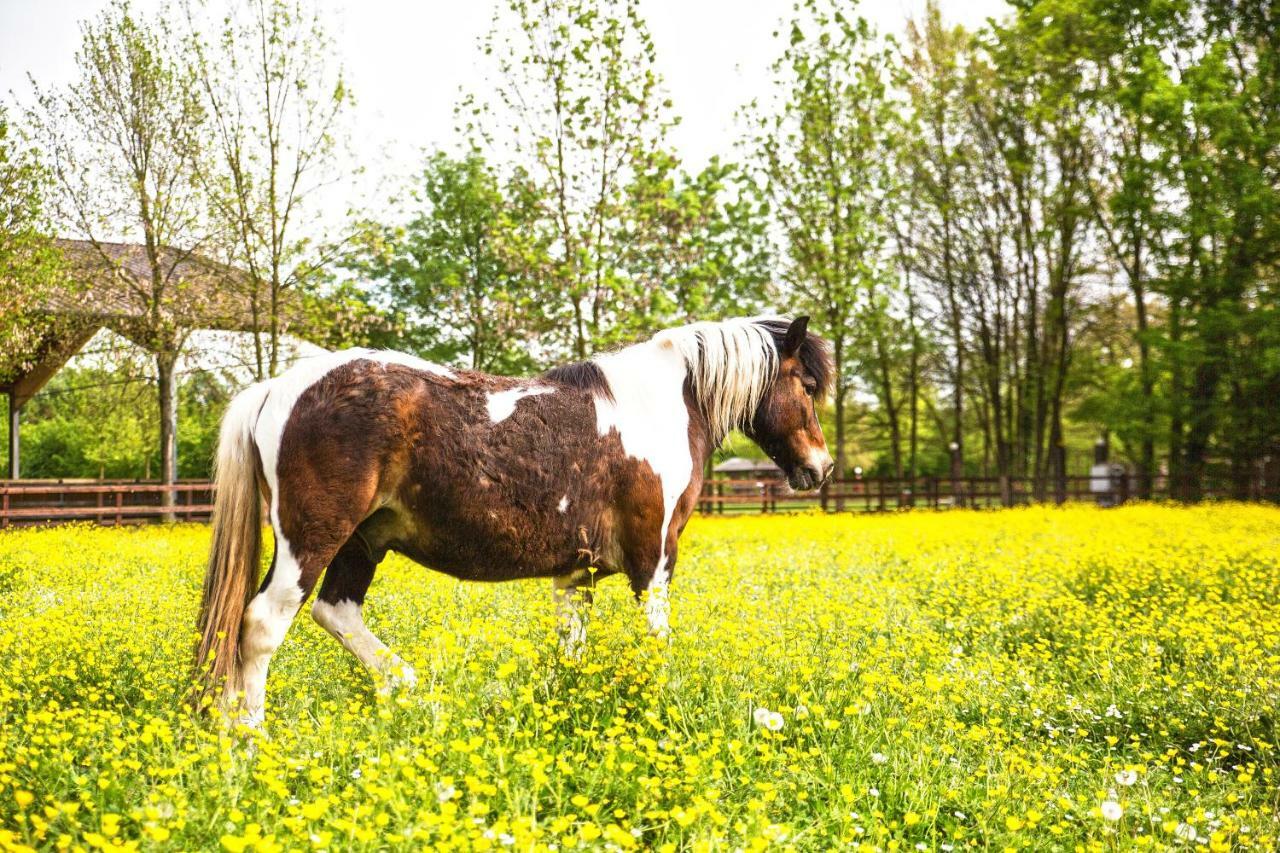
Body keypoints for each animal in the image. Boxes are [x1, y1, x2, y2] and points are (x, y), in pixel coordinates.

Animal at [189, 315, 829, 722]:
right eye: (807, 385)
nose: (819, 467)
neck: (656, 408)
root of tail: (279, 388)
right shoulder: (653, 562)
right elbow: (656, 643)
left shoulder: (575, 573)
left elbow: (571, 650)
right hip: (312, 539)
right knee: (260, 626)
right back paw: (248, 740)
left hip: (361, 542)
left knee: (336, 611)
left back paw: (412, 692)